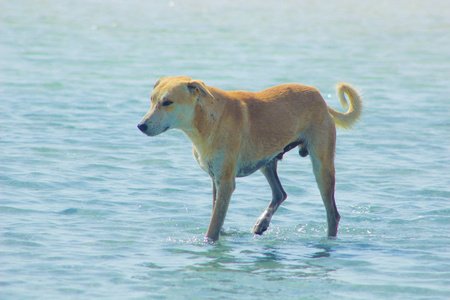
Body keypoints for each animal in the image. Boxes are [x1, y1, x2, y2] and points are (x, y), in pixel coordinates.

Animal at [137, 77, 362, 241]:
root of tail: (321, 100)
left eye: (167, 102)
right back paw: (262, 223)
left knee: (332, 213)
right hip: (266, 161)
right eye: (151, 100)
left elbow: (213, 226)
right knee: (280, 193)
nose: (141, 126)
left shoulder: (226, 182)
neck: (208, 119)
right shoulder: (215, 179)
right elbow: (217, 214)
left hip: (322, 167)